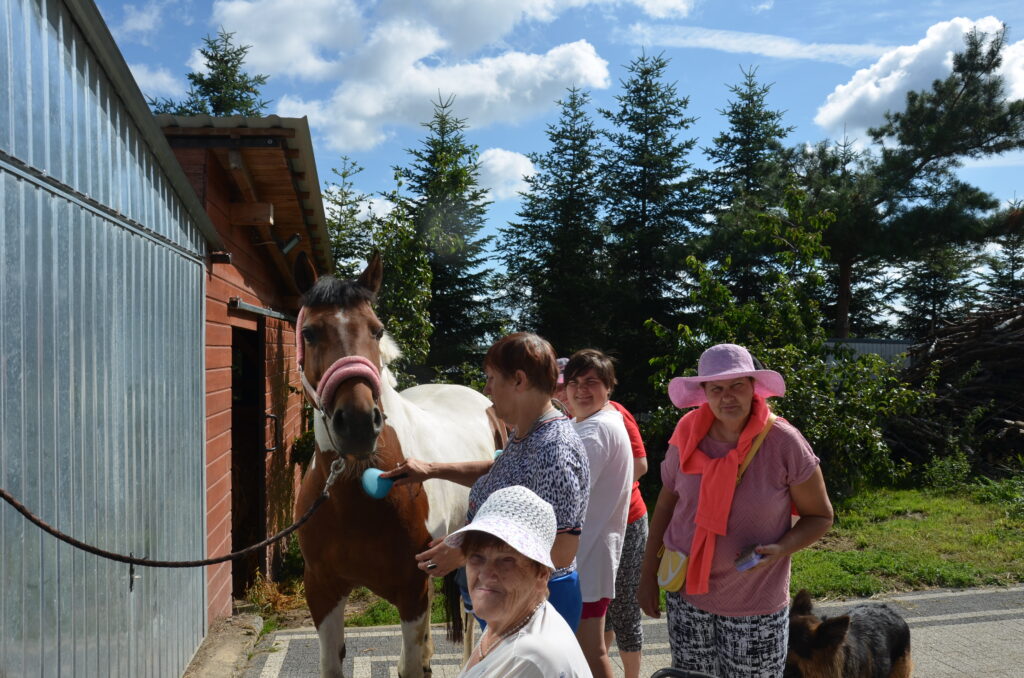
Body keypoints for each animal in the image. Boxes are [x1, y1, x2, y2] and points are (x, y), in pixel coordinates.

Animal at [294, 256, 505, 678]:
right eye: (309, 333)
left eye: (376, 330)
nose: (358, 422)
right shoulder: (322, 590)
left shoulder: (412, 590)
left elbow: (409, 665)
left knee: (472, 622)